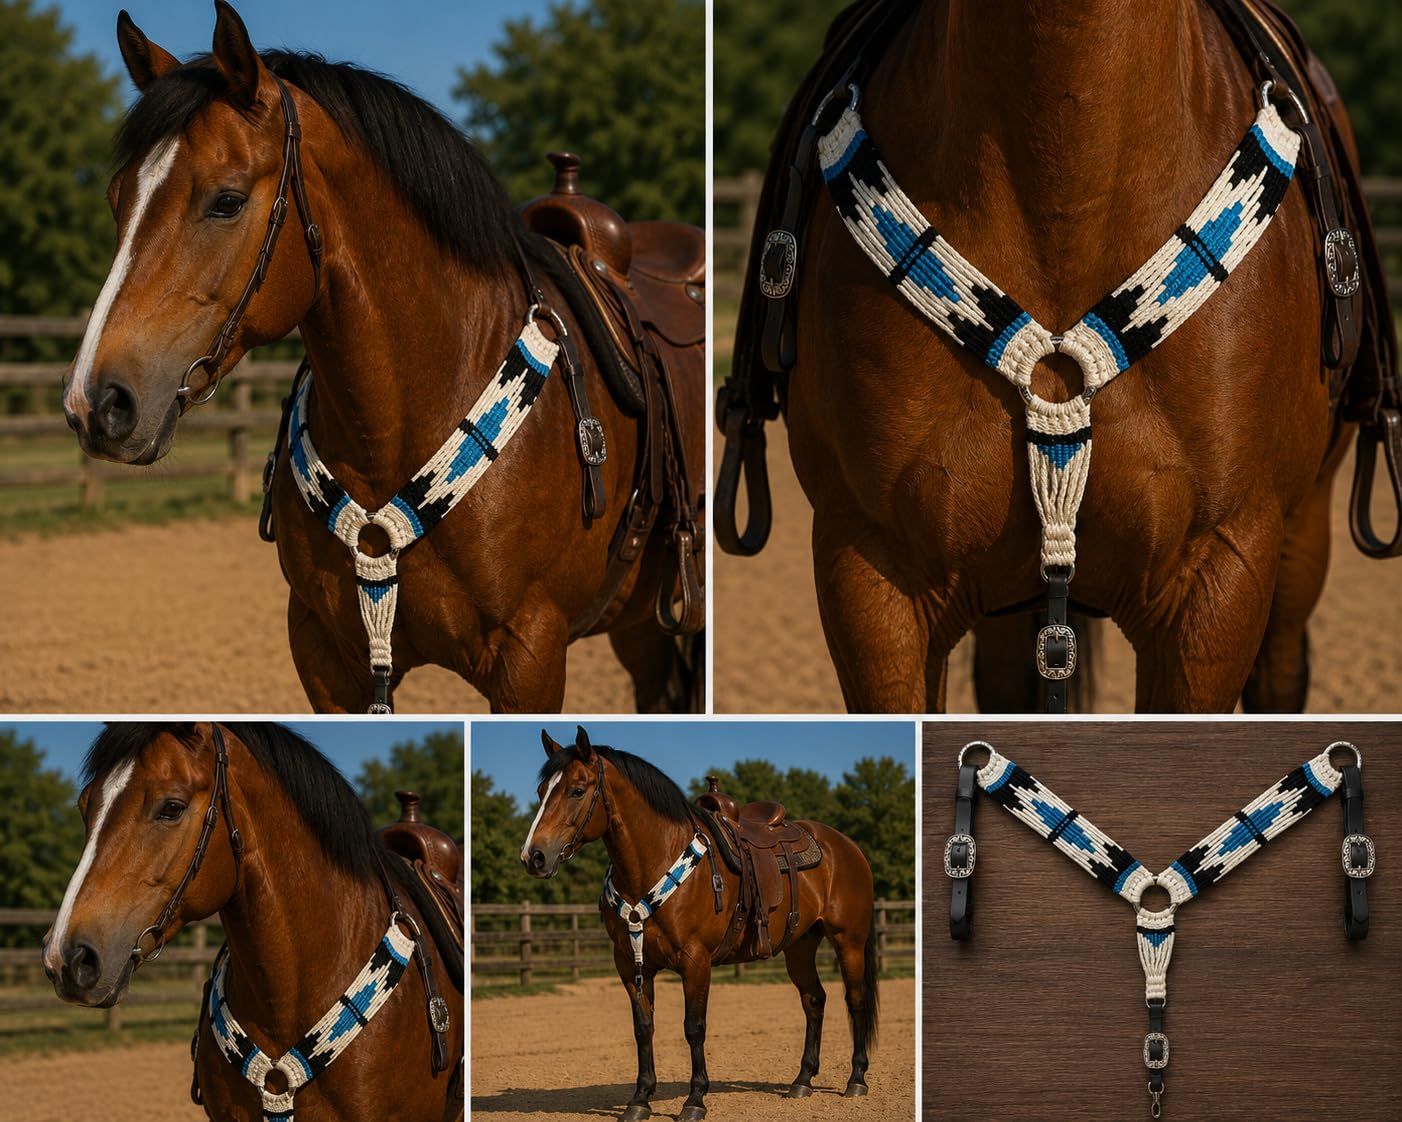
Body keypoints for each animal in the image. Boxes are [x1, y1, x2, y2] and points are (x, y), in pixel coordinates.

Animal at [519, 726, 879, 1120]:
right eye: (541, 791)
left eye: (577, 789)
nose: (533, 856)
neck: (655, 861)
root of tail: (846, 847)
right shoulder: (630, 964)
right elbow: (643, 1028)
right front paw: (640, 1099)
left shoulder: (695, 962)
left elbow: (694, 1028)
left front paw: (695, 1099)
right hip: (800, 946)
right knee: (814, 1000)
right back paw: (801, 1081)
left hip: (848, 941)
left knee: (855, 999)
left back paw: (856, 1079)